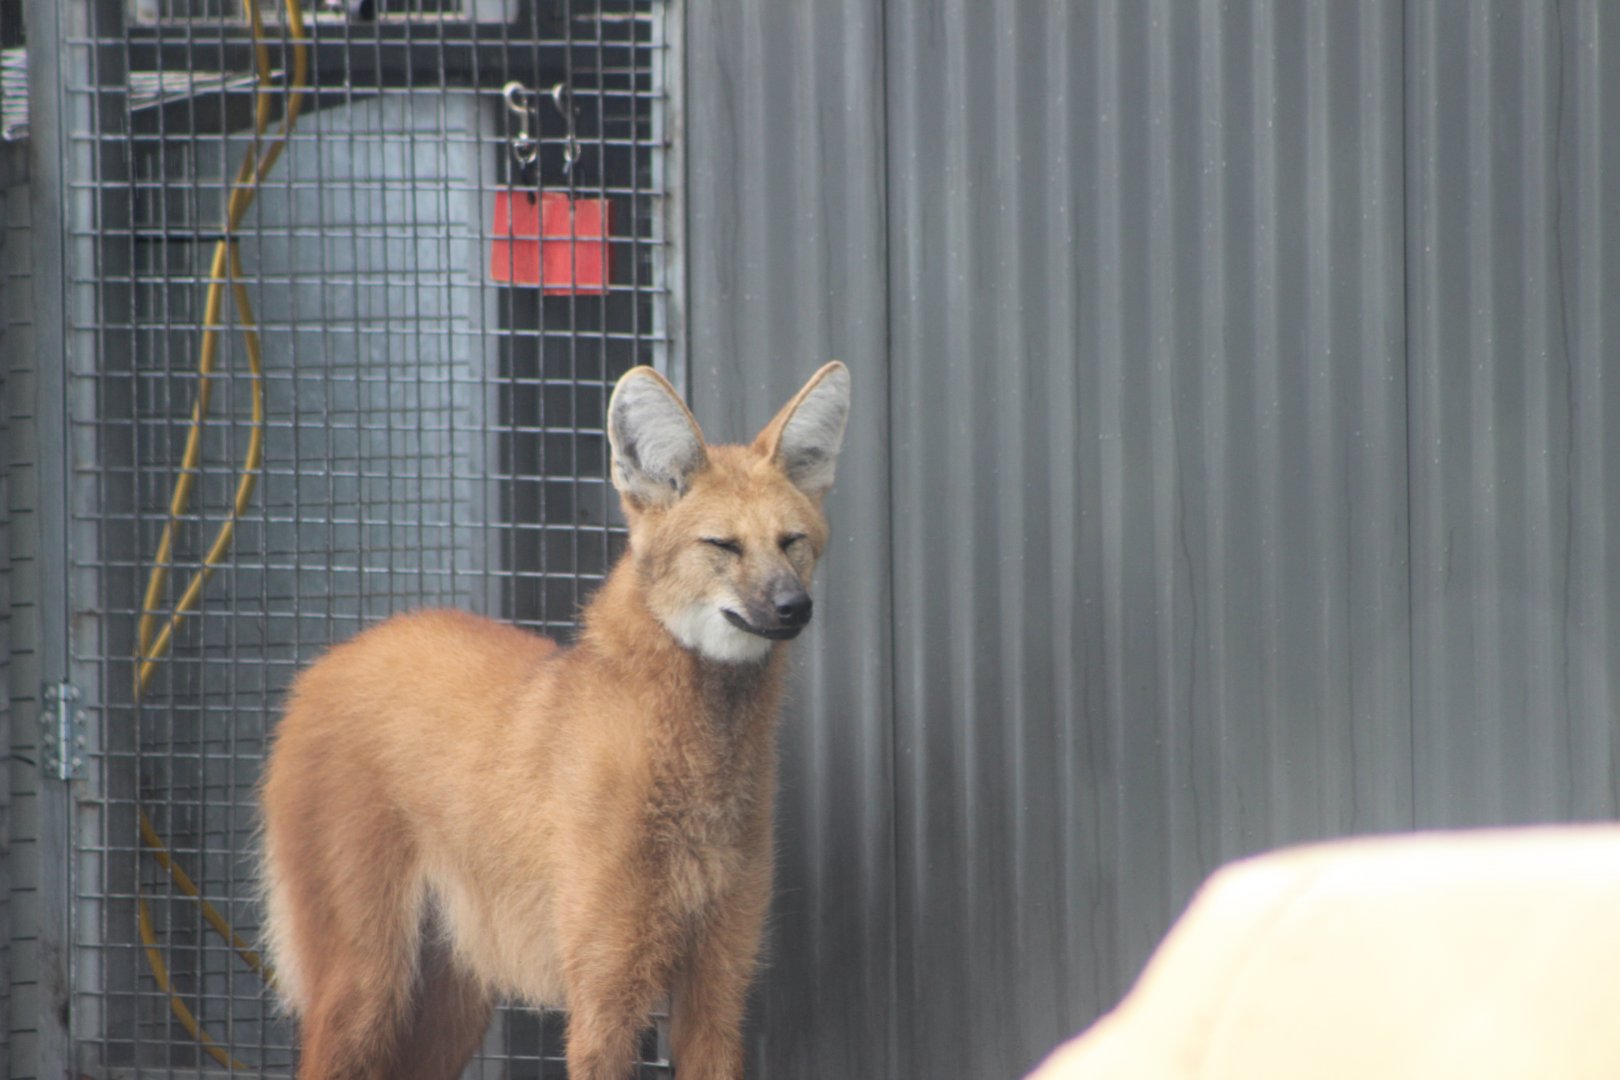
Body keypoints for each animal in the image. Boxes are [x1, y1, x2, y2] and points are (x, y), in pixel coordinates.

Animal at [258, 362, 851, 1080]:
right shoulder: (604, 991)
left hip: (454, 994)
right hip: (367, 984)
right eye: (723, 545)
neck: (697, 763)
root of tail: (326, 663)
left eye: (792, 542)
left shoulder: (717, 985)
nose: (795, 606)